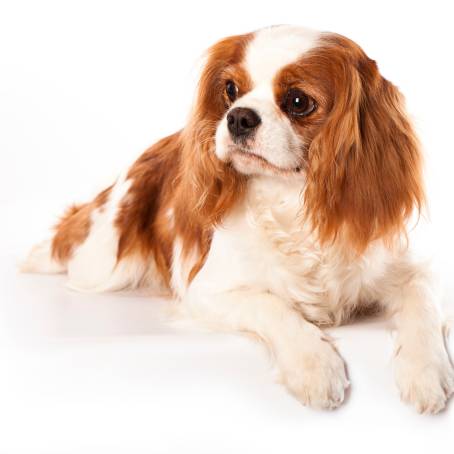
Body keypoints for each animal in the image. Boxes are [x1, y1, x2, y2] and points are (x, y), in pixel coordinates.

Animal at [23, 24, 454, 414]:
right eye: (230, 90)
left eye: (298, 101)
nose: (238, 117)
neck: (292, 201)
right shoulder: (206, 293)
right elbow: (273, 306)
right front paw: (314, 366)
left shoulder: (406, 270)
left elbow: (423, 306)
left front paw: (426, 372)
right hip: (103, 262)